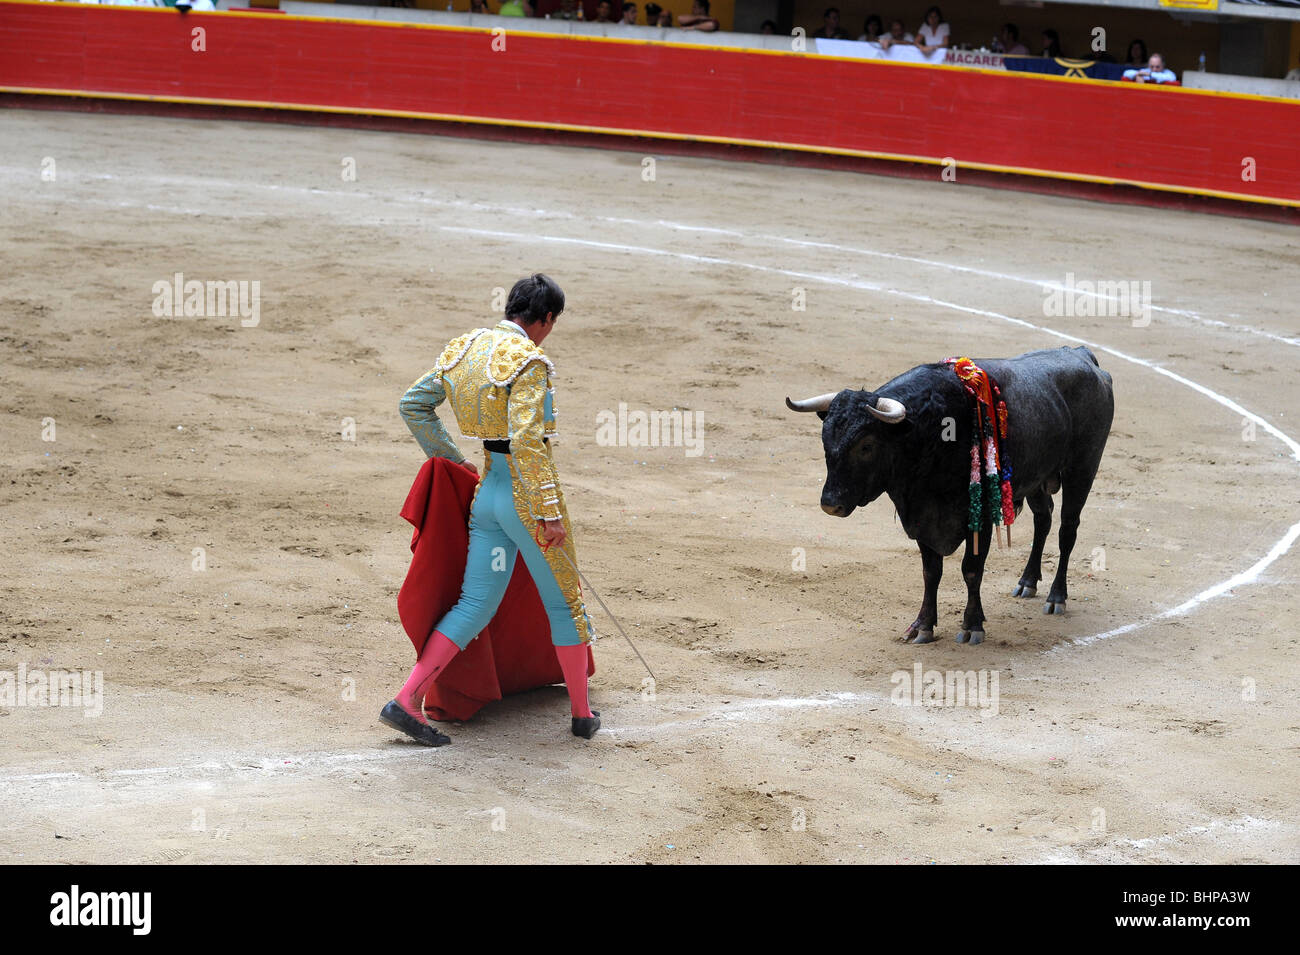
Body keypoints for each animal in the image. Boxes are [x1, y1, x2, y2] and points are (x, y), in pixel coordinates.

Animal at [785, 348, 1112, 647]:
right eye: (825, 439)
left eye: (866, 445)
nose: (830, 503)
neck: (929, 434)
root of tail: (1083, 355)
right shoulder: (922, 517)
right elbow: (931, 572)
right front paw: (923, 626)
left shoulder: (978, 517)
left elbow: (971, 569)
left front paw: (972, 626)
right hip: (1037, 479)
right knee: (1043, 521)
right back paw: (1027, 582)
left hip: (1082, 469)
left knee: (1067, 530)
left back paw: (1057, 597)